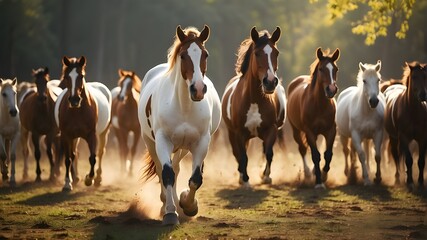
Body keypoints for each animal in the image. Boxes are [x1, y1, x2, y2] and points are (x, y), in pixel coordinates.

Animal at [54, 55, 112, 191]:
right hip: (75, 137)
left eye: (81, 76)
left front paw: (89, 179)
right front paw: (67, 183)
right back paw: (75, 179)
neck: (77, 111)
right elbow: (68, 158)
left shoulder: (91, 135)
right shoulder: (66, 136)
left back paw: (98, 179)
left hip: (103, 132)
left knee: (100, 152)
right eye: (66, 77)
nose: (74, 100)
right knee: (74, 154)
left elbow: (92, 157)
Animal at [139, 25, 222, 224]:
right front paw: (170, 213)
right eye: (183, 55)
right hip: (151, 142)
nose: (198, 89)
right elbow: (167, 174)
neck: (184, 106)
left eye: (205, 54)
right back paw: (165, 205)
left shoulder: (201, 142)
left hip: (182, 147)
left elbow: (195, 178)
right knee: (163, 170)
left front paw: (188, 205)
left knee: (176, 168)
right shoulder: (163, 141)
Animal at [221, 26, 288, 188]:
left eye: (276, 53)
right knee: (237, 153)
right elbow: (243, 156)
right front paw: (245, 180)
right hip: (232, 134)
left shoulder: (271, 129)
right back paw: (241, 176)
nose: (270, 82)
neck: (254, 100)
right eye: (257, 53)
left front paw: (266, 177)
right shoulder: (239, 133)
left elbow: (269, 153)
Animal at [288, 47, 342, 189]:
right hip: (296, 131)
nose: (331, 89)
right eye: (321, 69)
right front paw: (318, 182)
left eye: (336, 69)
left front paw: (324, 175)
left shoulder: (331, 131)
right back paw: (307, 173)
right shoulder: (309, 132)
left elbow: (328, 154)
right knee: (302, 149)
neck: (319, 105)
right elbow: (316, 155)